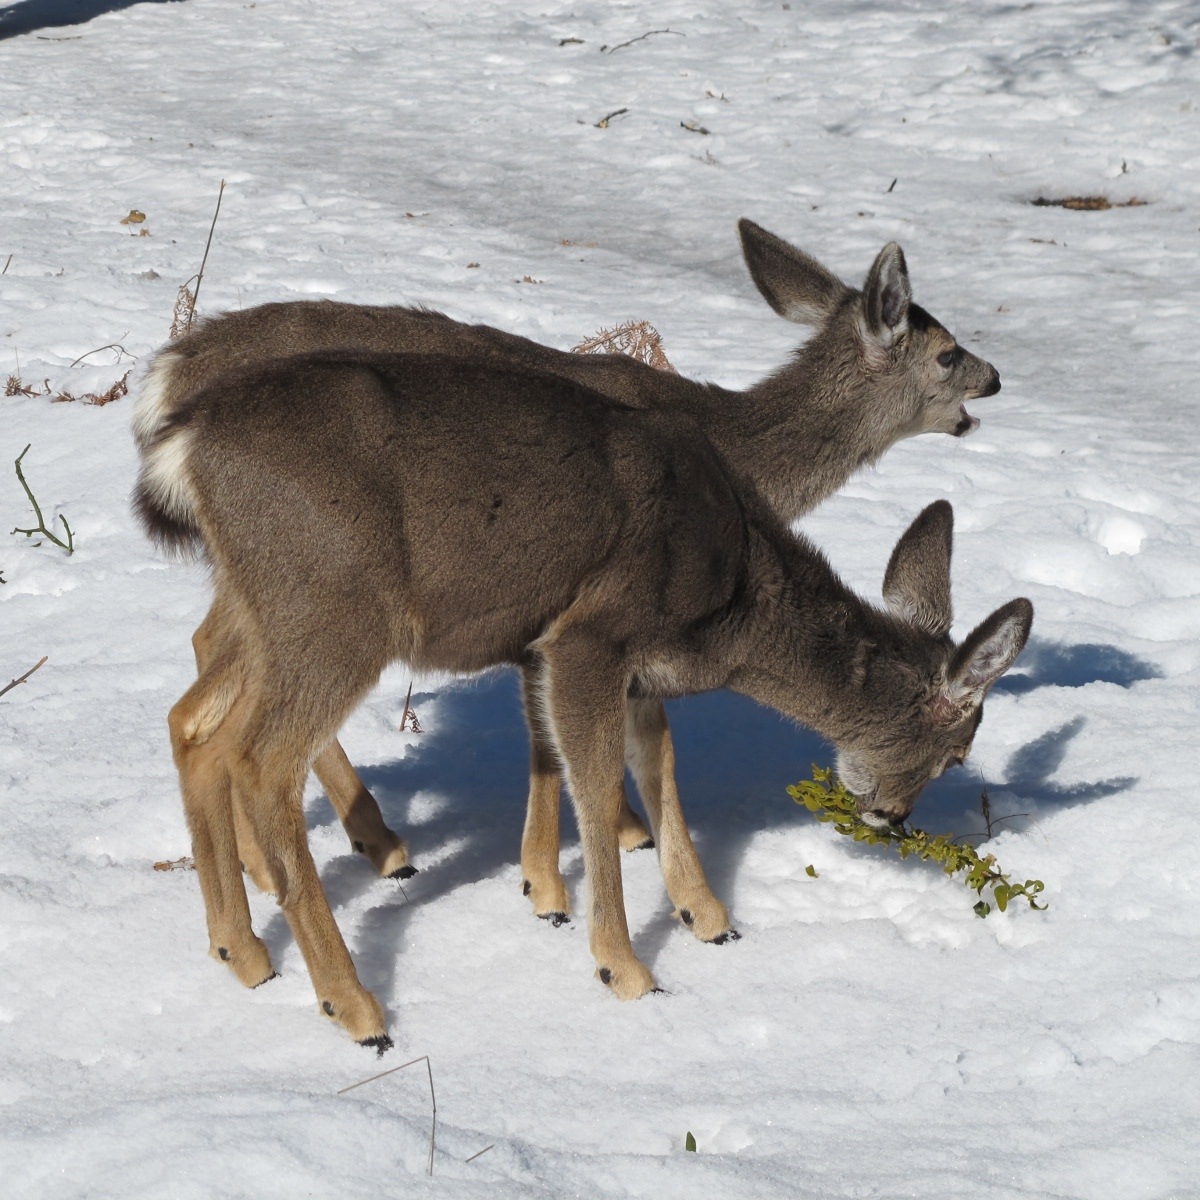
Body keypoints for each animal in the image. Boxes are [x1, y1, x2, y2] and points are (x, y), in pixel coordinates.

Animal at [134, 219, 1003, 930]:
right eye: (946, 351)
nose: (994, 379)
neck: (734, 447)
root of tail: (168, 381)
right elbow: (572, 746)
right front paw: (566, 879)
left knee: (210, 658)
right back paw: (371, 848)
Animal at [134, 346, 1031, 1049]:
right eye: (956, 753)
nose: (893, 819)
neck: (732, 597)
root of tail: (182, 444)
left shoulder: (632, 664)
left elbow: (659, 764)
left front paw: (708, 917)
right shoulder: (587, 635)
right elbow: (597, 788)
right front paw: (624, 966)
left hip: (263, 608)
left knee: (194, 724)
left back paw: (243, 953)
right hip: (336, 608)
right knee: (259, 759)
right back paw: (356, 1006)